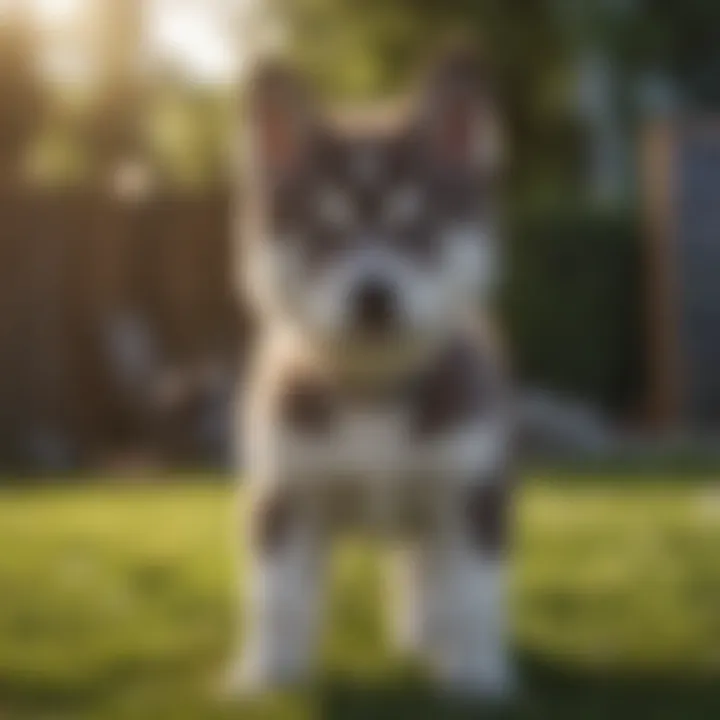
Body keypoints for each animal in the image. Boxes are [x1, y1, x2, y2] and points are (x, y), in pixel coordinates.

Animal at [233, 47, 516, 700]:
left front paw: (476, 677)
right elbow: (277, 598)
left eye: (416, 227)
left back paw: (430, 641)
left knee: (427, 576)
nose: (373, 297)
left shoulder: (468, 490)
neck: (372, 390)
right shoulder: (286, 490)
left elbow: (470, 594)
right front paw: (266, 678)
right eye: (326, 230)